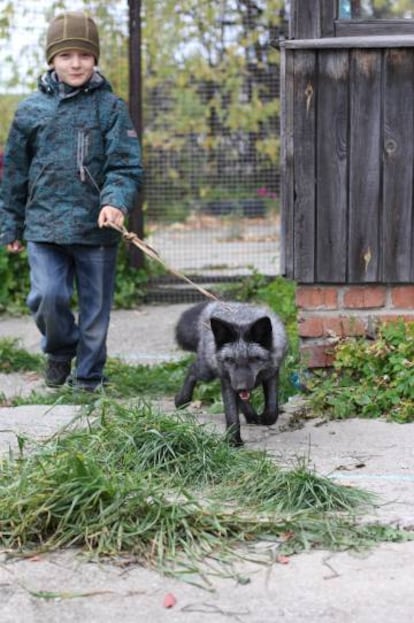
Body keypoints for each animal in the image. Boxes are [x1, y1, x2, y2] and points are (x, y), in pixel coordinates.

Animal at [175, 302, 288, 444]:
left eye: (253, 359)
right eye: (230, 360)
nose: (241, 387)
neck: (242, 321)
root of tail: (214, 305)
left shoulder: (272, 372)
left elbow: (273, 409)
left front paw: (266, 418)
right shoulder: (227, 381)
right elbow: (231, 414)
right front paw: (233, 440)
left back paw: (252, 416)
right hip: (207, 372)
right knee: (192, 369)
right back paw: (181, 400)